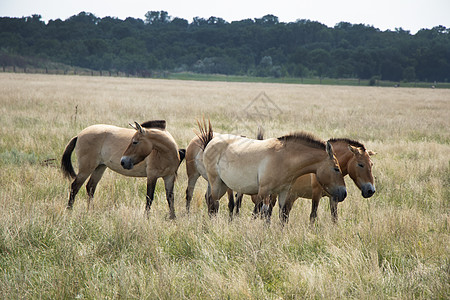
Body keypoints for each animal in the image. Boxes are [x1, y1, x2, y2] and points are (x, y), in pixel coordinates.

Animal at [199, 120, 346, 217]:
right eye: (336, 168)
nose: (344, 193)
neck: (284, 158)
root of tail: (211, 141)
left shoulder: (283, 193)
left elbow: (281, 214)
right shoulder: (264, 191)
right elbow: (262, 213)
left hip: (223, 185)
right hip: (216, 183)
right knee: (213, 203)